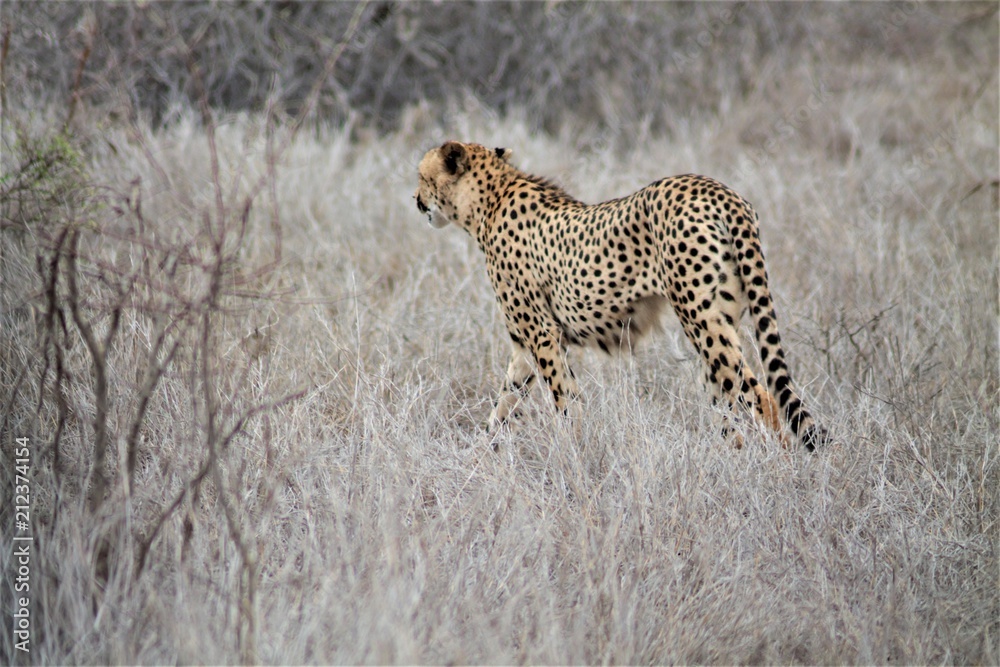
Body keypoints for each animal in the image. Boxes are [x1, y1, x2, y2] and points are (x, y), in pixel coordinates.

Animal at [414, 140, 829, 451]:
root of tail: (718, 189)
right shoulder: (524, 344)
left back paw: (773, 470)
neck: (490, 200)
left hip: (701, 321)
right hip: (721, 320)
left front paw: (576, 453)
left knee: (759, 396)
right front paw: (483, 456)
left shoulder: (543, 335)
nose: (416, 200)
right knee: (732, 401)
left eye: (421, 175)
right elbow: (503, 405)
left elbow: (565, 401)